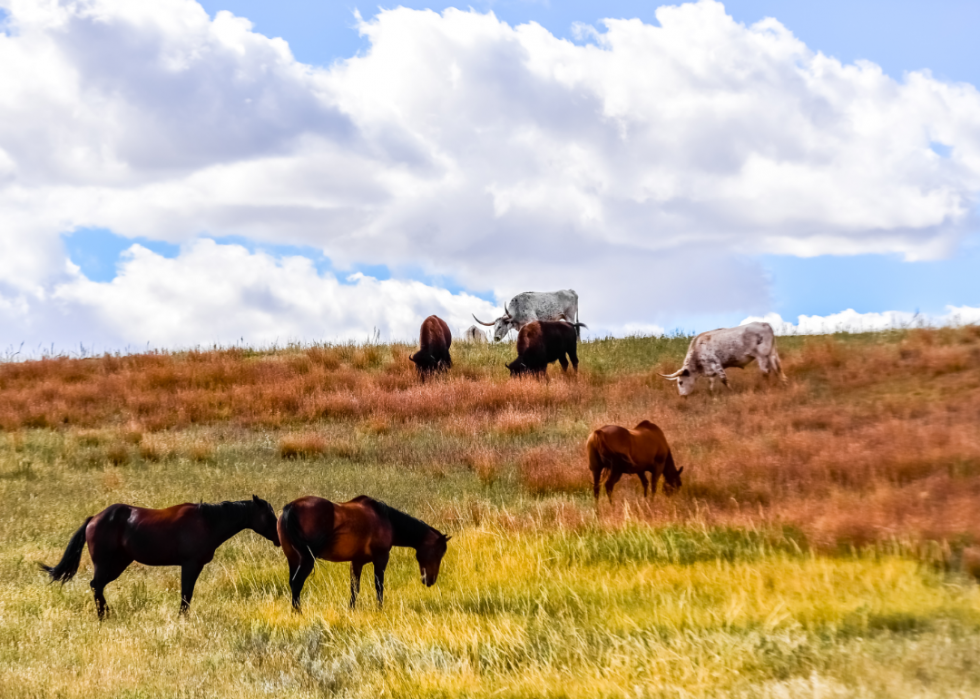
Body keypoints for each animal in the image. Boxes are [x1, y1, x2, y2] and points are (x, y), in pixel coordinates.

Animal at [41, 494, 280, 620]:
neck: (207, 522)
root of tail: (94, 519)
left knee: (97, 586)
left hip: (119, 564)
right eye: (268, 515)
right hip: (105, 564)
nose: (280, 537)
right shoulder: (190, 565)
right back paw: (103, 616)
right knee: (96, 586)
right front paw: (182, 618)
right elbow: (186, 593)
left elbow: (187, 593)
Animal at [280, 498, 452, 612]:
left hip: (293, 560)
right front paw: (380, 609)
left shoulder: (356, 562)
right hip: (306, 561)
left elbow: (354, 588)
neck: (386, 519)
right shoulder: (381, 558)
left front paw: (351, 609)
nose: (430, 580)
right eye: (438, 553)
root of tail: (291, 507)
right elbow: (379, 585)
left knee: (292, 583)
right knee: (297, 583)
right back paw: (298, 612)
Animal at [660, 322, 788, 396]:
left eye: (680, 382)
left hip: (762, 356)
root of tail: (764, 324)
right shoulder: (710, 370)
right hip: (772, 354)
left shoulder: (716, 364)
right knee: (778, 369)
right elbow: (711, 382)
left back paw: (766, 388)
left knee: (766, 372)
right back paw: (783, 383)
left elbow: (723, 379)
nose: (682, 396)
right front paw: (712, 394)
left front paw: (732, 391)